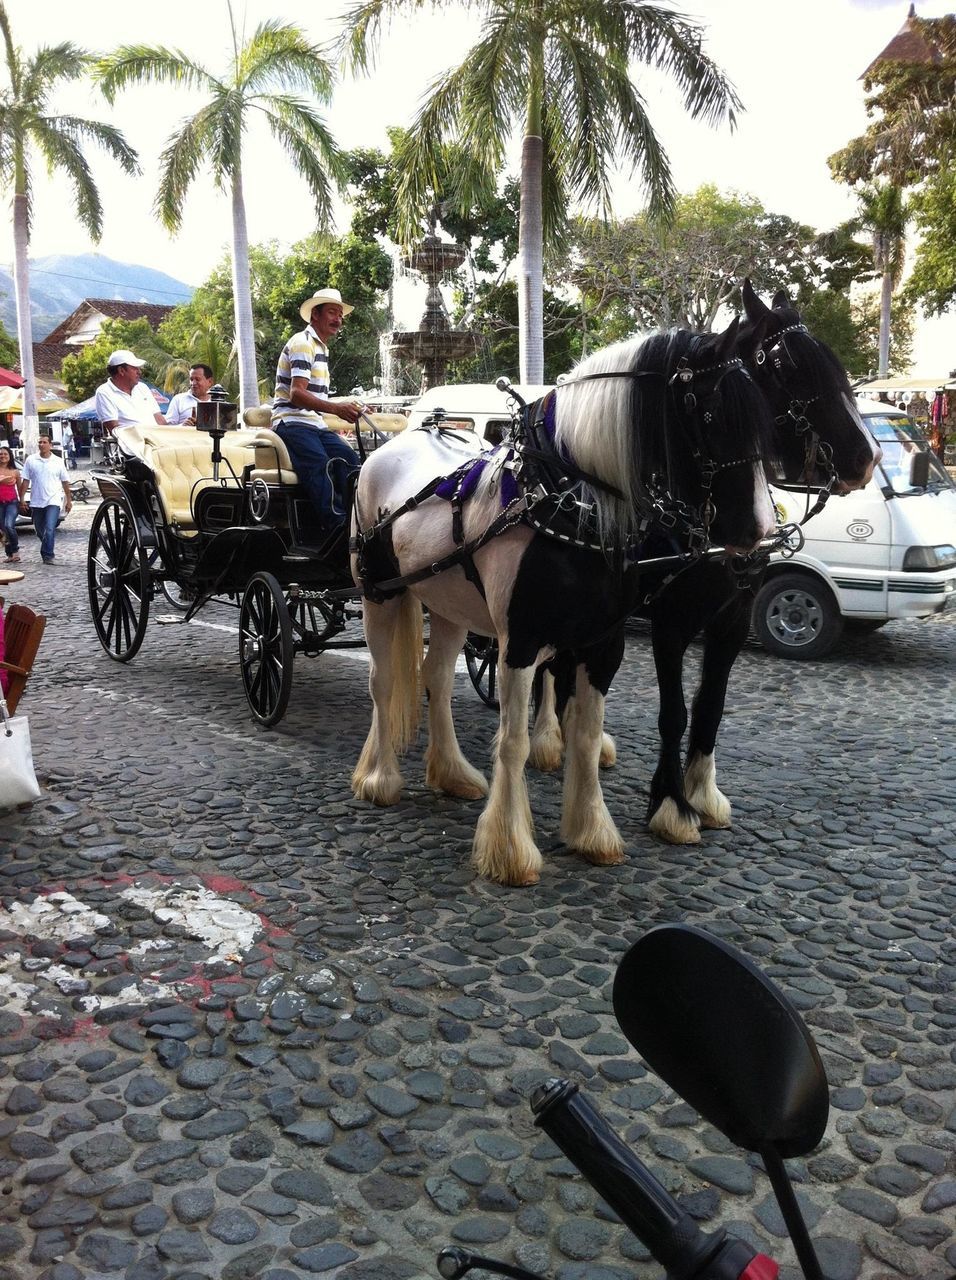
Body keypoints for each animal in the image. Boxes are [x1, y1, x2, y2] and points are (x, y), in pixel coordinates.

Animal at [350, 320, 778, 885]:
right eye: (709, 412)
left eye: (762, 416)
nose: (760, 531)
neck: (568, 503)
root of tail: (393, 442)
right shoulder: (519, 644)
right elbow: (513, 741)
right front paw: (510, 849)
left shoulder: (602, 645)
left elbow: (586, 735)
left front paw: (592, 830)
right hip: (380, 593)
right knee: (382, 682)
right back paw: (379, 778)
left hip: (447, 605)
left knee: (435, 679)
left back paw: (452, 772)